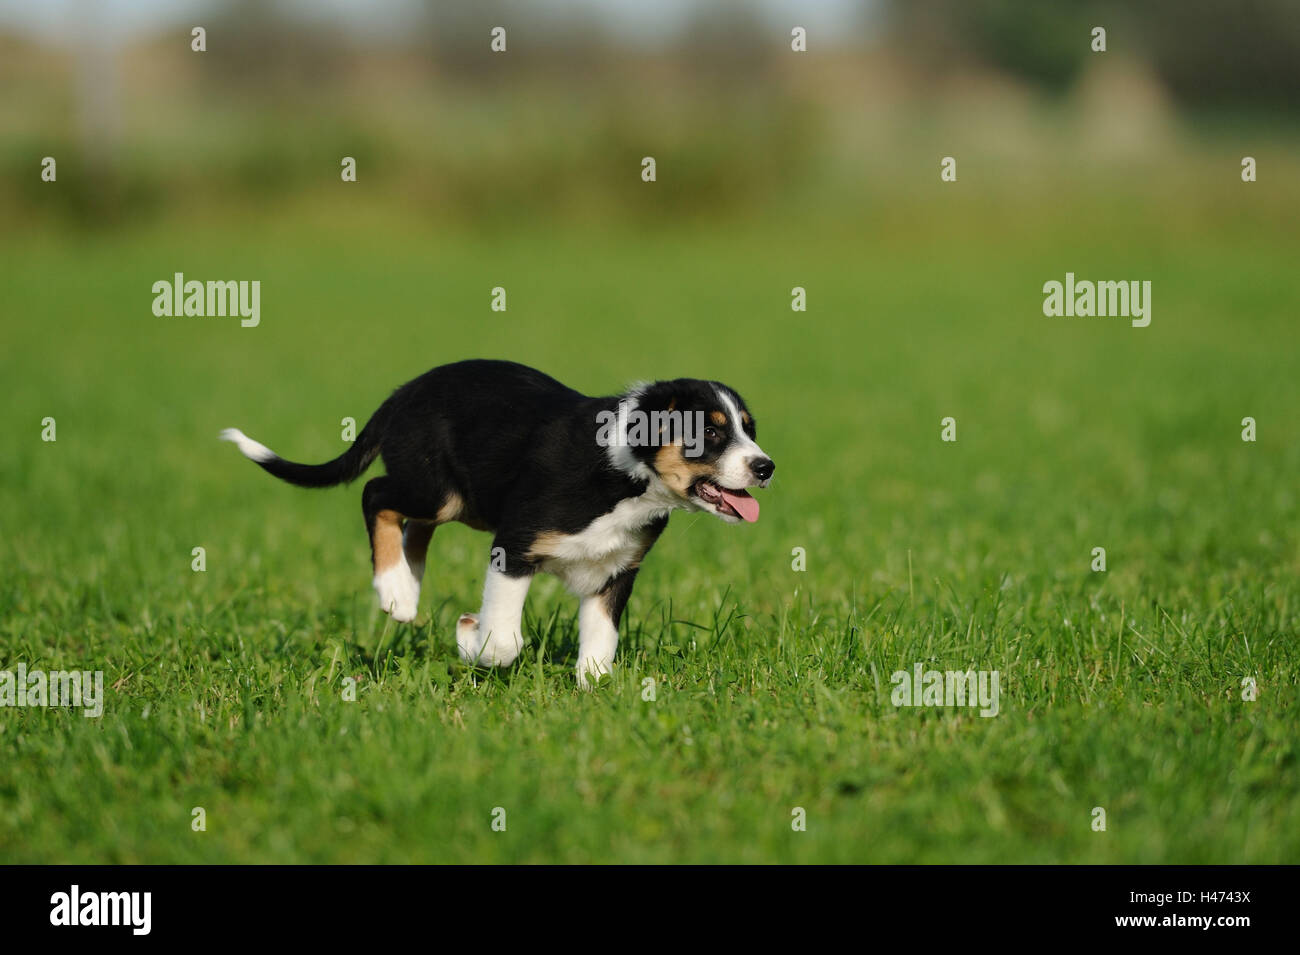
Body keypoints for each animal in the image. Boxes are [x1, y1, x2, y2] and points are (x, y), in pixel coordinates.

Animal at [222, 356, 769, 686]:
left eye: (749, 429)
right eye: (710, 434)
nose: (766, 467)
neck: (627, 477)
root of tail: (409, 388)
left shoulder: (615, 571)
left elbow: (600, 642)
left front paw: (594, 692)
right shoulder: (515, 544)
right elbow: (505, 640)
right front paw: (471, 636)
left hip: (460, 500)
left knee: (415, 525)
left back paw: (407, 588)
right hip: (434, 487)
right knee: (375, 493)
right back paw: (394, 590)